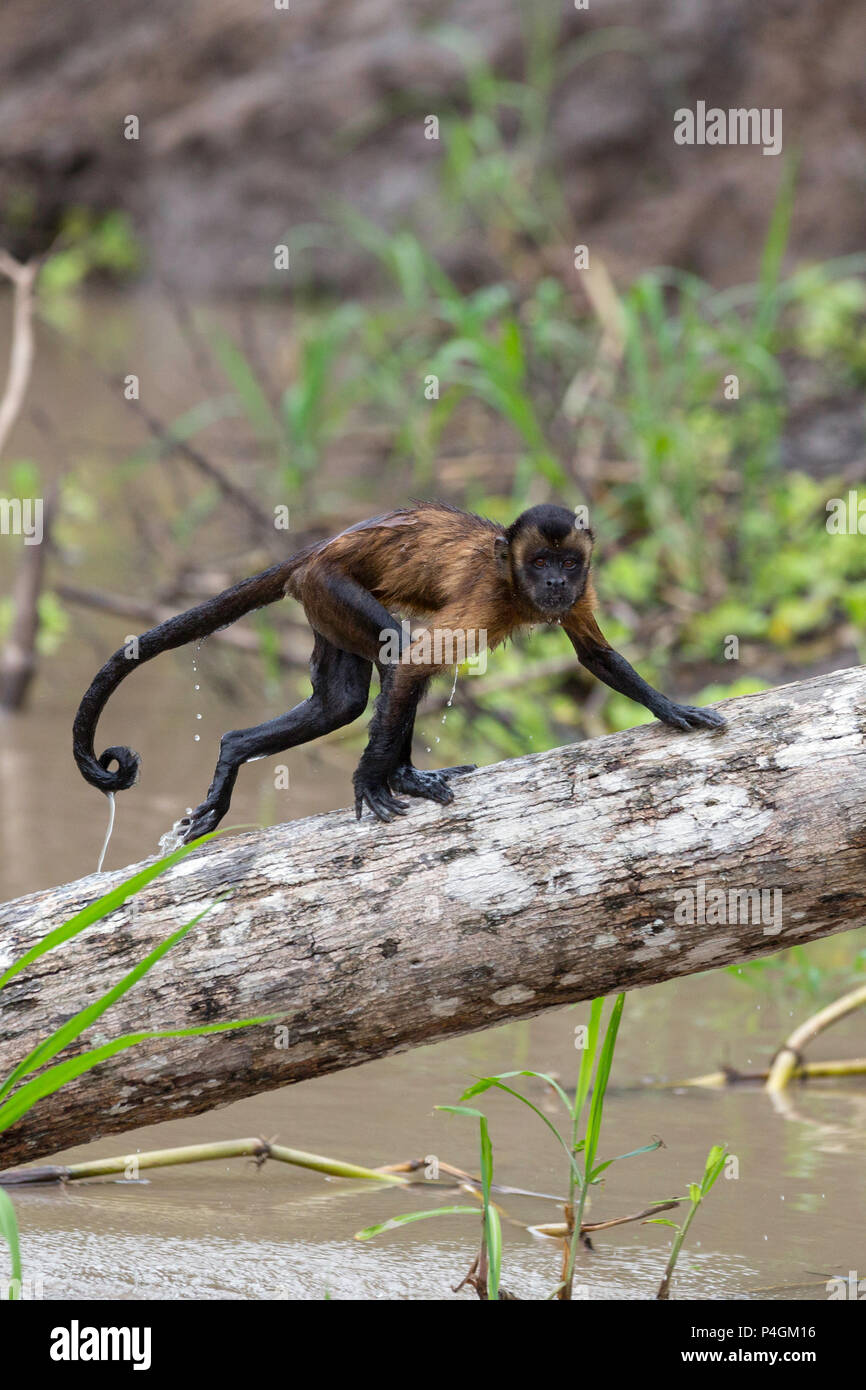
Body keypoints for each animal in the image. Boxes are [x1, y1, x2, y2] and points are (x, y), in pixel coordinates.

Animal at [72, 505, 722, 839]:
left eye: (567, 562)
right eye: (540, 562)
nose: (557, 583)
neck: (515, 586)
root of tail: (317, 551)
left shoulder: (583, 589)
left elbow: (594, 656)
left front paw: (672, 708)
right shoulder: (486, 597)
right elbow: (411, 663)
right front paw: (369, 780)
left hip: (320, 605)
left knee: (340, 702)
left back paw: (237, 750)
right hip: (329, 588)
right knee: (392, 657)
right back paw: (393, 775)